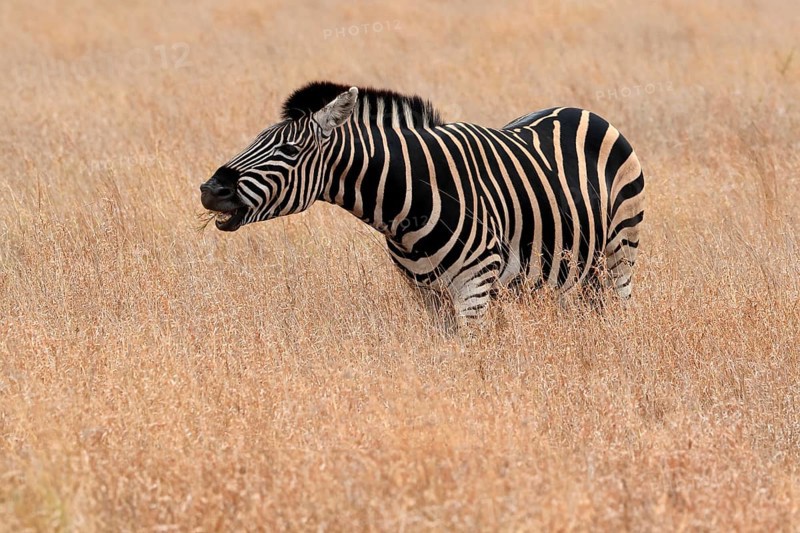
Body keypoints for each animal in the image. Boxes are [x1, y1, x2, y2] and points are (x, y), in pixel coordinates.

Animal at [200, 81, 644, 323]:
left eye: (290, 150)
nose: (210, 189)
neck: (408, 203)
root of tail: (581, 109)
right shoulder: (429, 295)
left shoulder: (474, 285)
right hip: (573, 270)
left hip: (619, 252)